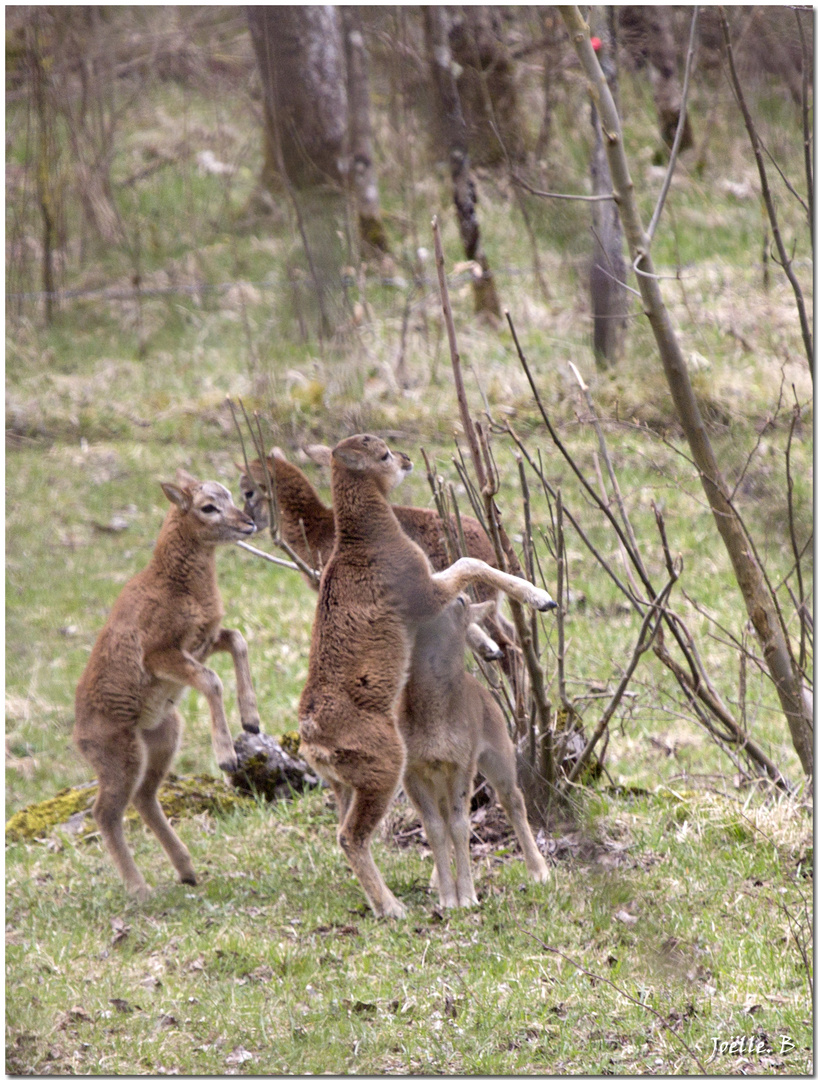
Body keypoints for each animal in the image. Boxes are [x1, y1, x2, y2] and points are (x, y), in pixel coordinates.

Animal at [73, 468, 260, 898]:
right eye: (208, 507)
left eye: (229, 494)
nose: (248, 523)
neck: (175, 584)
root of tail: (78, 738)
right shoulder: (161, 654)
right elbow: (211, 681)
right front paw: (227, 757)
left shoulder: (205, 641)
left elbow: (239, 640)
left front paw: (252, 721)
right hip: (120, 756)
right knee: (105, 811)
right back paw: (139, 889)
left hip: (163, 736)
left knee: (144, 797)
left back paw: (187, 871)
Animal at [296, 434, 557, 915]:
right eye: (381, 453)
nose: (404, 459)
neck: (365, 541)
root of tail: (312, 738)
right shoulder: (422, 590)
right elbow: (469, 564)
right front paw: (541, 597)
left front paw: (489, 646)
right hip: (385, 768)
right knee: (350, 836)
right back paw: (393, 908)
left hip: (343, 784)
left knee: (344, 832)